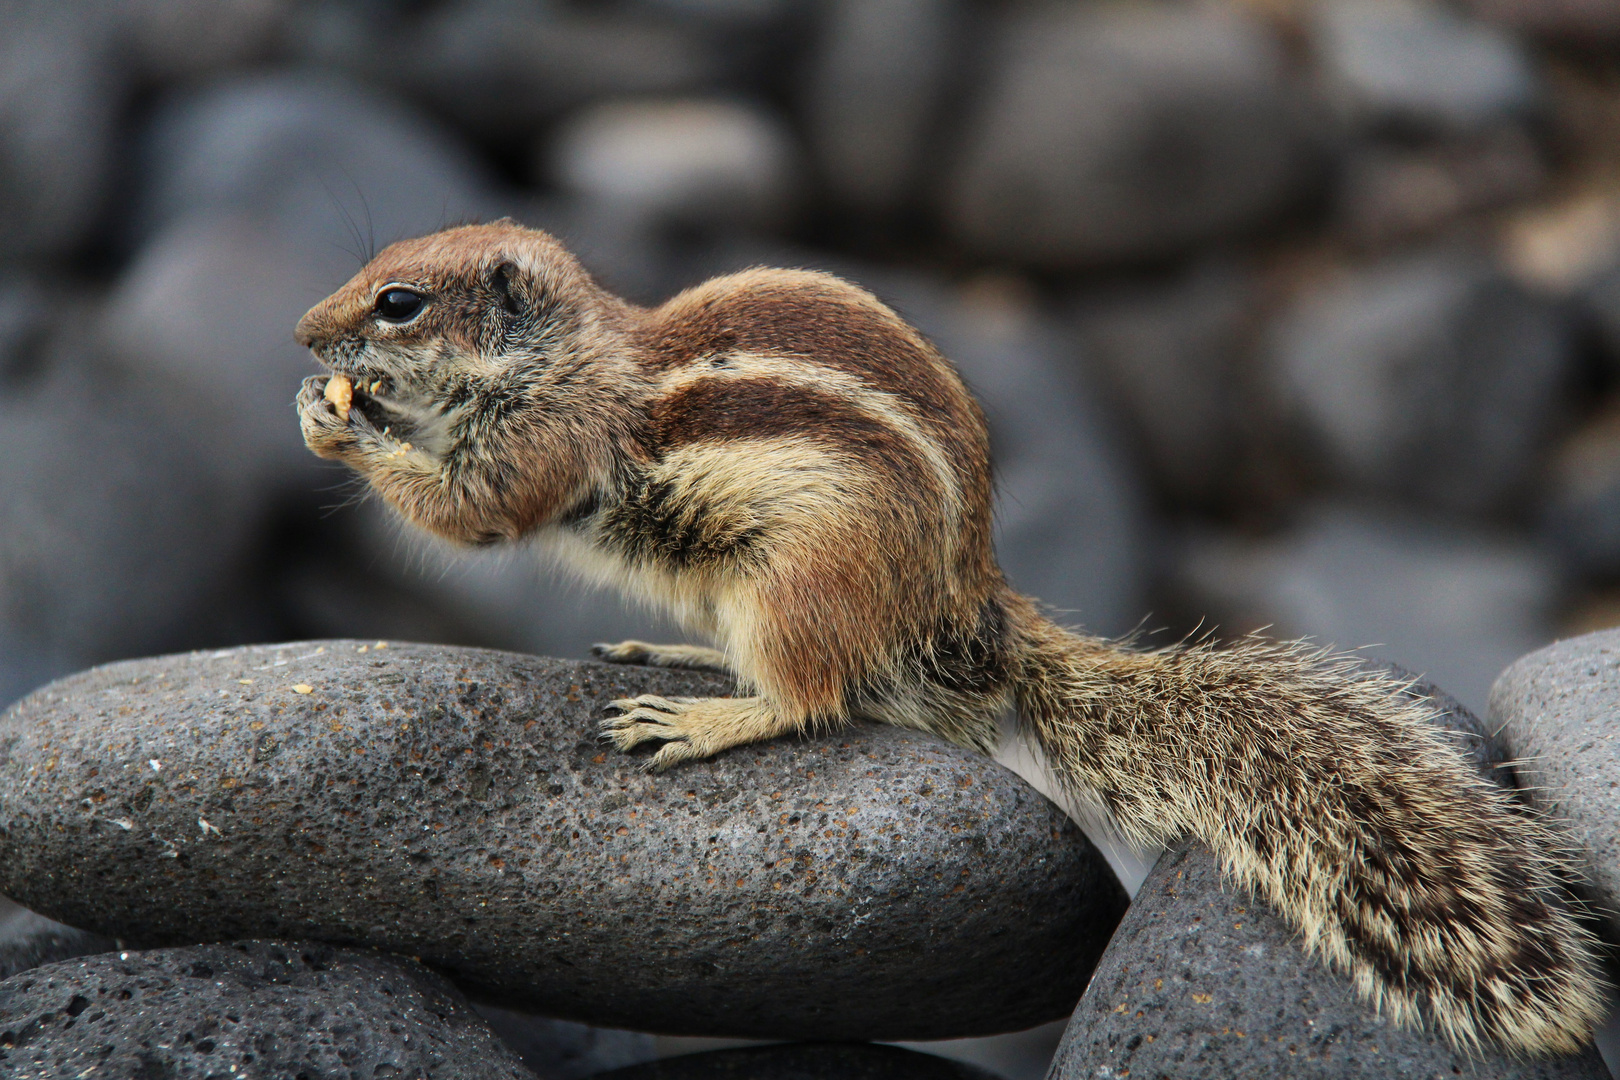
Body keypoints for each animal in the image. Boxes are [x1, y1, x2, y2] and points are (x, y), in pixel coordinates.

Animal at [298, 216, 1600, 1055]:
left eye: (400, 303)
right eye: (371, 271)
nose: (307, 336)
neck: (570, 353)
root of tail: (966, 612)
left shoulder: (550, 442)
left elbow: (474, 509)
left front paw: (343, 428)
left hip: (796, 583)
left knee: (811, 695)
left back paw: (708, 712)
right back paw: (687, 659)